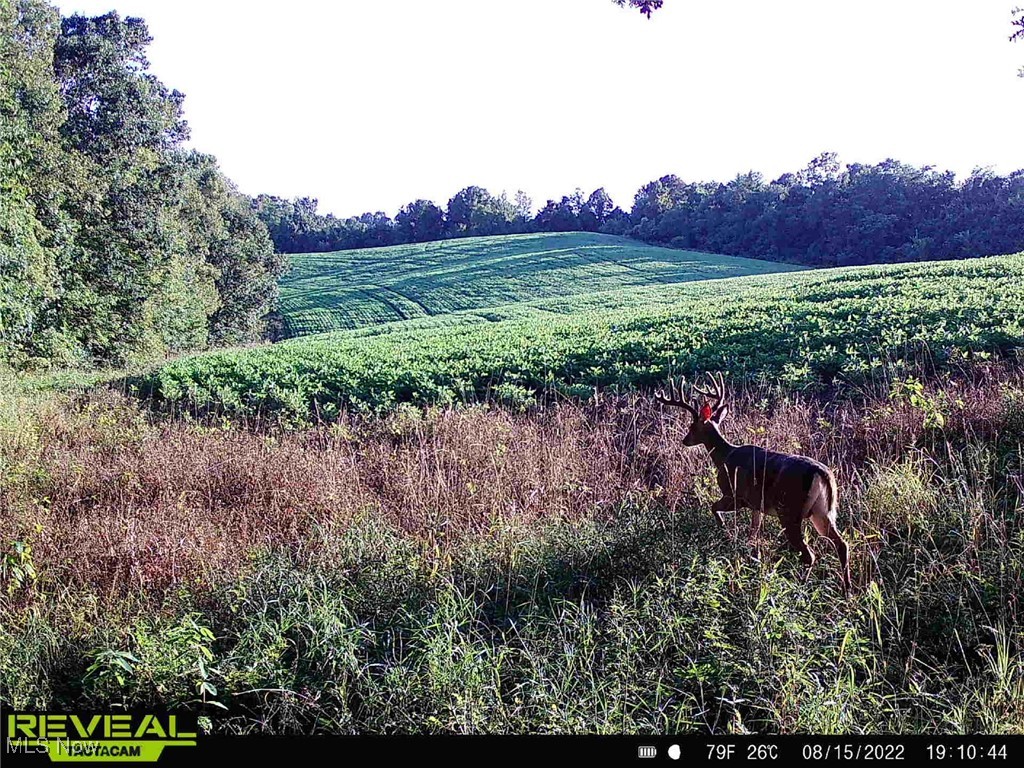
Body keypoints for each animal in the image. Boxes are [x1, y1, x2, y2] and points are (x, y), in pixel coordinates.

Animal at [659, 372, 851, 593]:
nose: (684, 440)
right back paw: (847, 590)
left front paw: (725, 532)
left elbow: (713, 508)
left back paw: (801, 588)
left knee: (809, 554)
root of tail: (823, 474)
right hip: (823, 512)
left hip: (790, 511)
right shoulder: (756, 505)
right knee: (841, 544)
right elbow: (753, 535)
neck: (724, 456)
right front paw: (753, 558)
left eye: (692, 426)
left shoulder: (735, 495)